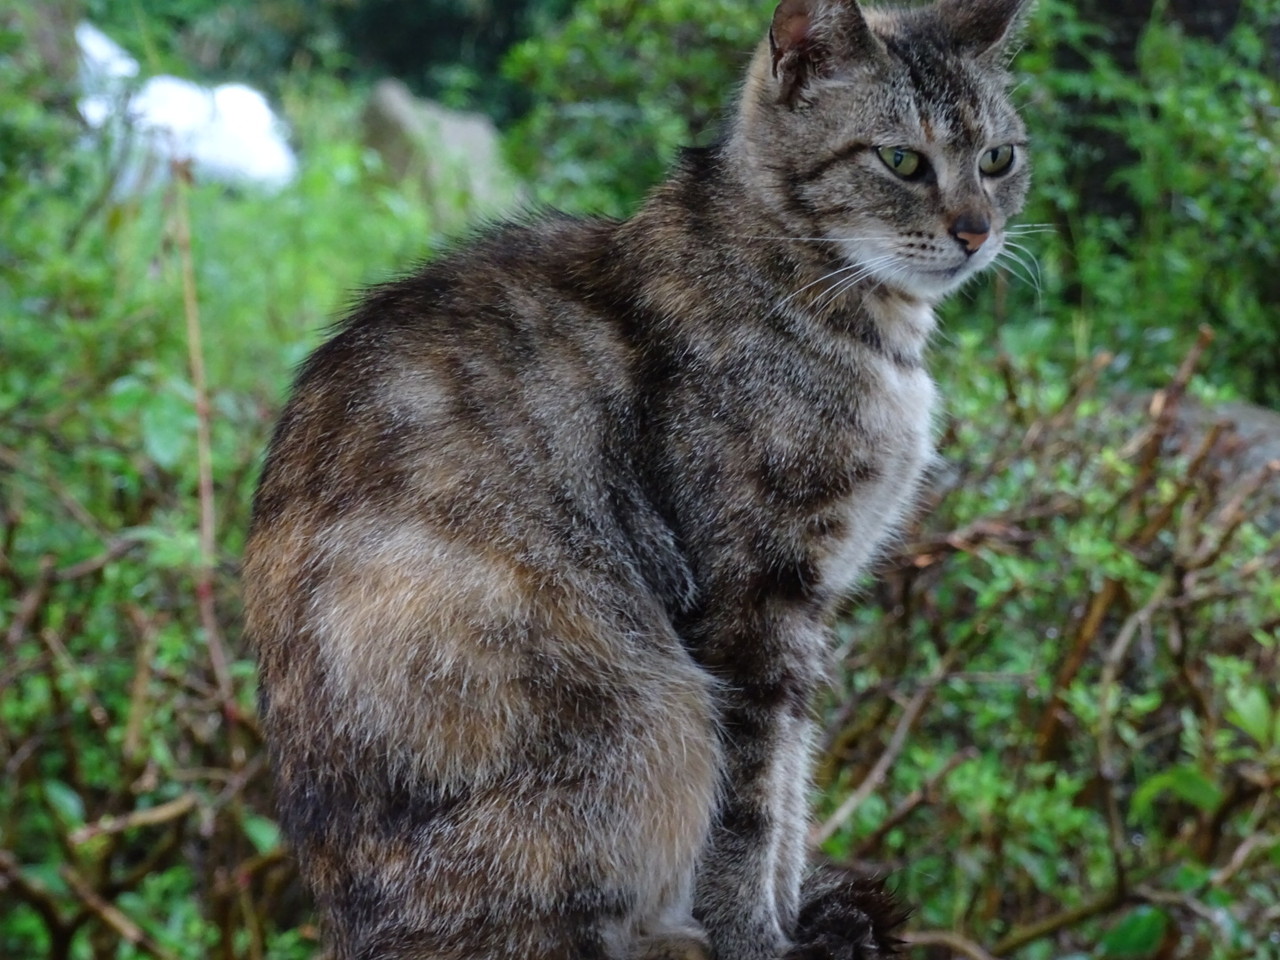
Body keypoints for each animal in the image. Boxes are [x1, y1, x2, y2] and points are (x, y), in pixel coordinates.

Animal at [243, 0, 1031, 957]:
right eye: (902, 160)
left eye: (999, 158)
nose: (976, 230)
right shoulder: (750, 606)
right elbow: (751, 810)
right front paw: (759, 939)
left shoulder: (806, 609)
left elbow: (791, 788)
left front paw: (795, 914)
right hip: (648, 711)